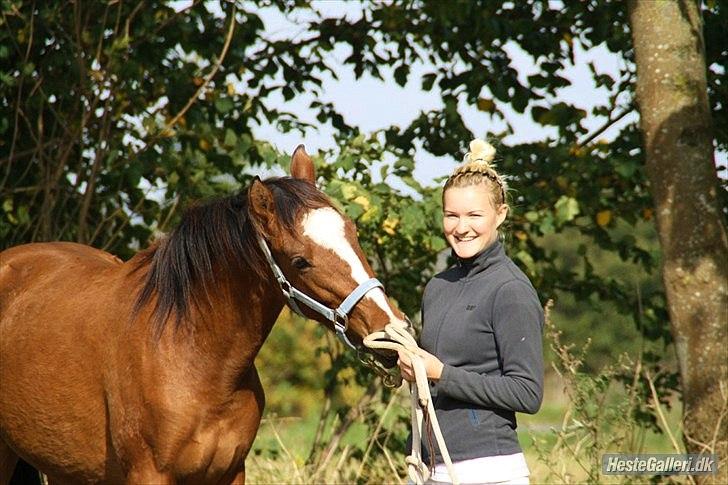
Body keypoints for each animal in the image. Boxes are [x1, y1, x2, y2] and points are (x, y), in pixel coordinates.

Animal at [0, 146, 404, 482]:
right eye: (300, 261)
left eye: (353, 232)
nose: (390, 333)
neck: (194, 359)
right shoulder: (149, 474)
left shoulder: (231, 471)